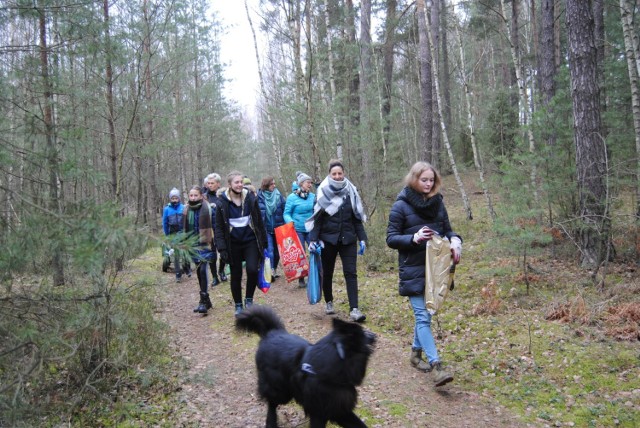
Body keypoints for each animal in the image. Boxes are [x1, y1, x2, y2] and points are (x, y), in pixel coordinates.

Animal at [235, 306, 376, 426]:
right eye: (362, 333)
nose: (374, 335)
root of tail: (272, 332)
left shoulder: (340, 409)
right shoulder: (319, 413)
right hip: (280, 391)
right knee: (271, 404)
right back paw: (271, 422)